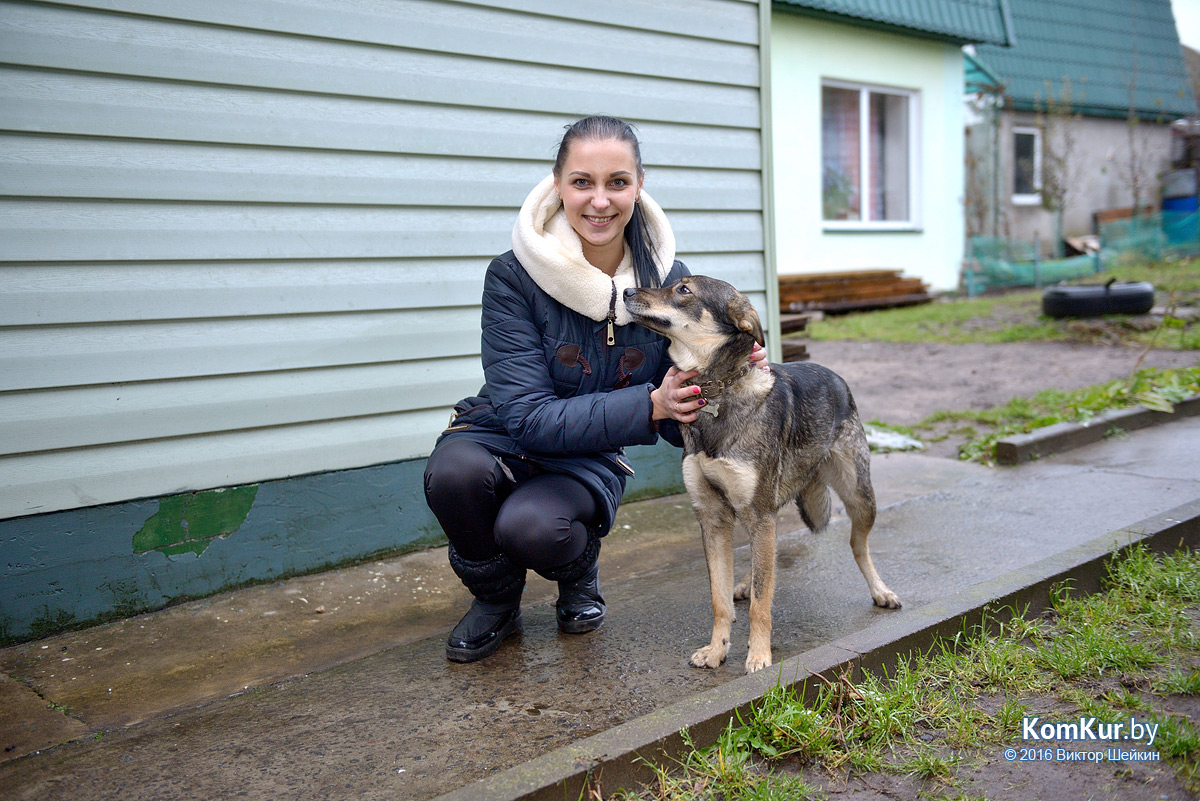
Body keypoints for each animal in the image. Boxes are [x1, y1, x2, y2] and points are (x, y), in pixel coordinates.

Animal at [624, 272, 897, 671]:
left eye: (684, 290)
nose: (625, 290)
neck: (718, 391)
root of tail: (833, 375)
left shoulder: (759, 512)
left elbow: (761, 602)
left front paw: (758, 654)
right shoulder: (714, 518)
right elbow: (720, 599)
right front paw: (717, 649)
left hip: (860, 497)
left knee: (858, 546)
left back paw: (880, 591)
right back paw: (744, 582)